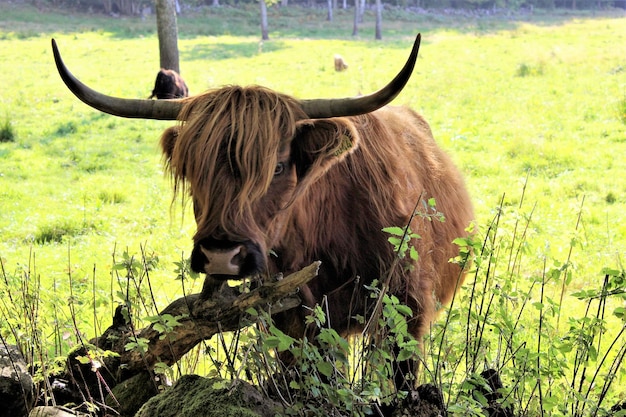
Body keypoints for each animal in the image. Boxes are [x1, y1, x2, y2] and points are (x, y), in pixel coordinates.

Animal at [52, 35, 472, 386]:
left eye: (278, 166)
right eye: (192, 169)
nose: (221, 255)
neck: (327, 234)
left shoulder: (405, 310)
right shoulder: (291, 320)